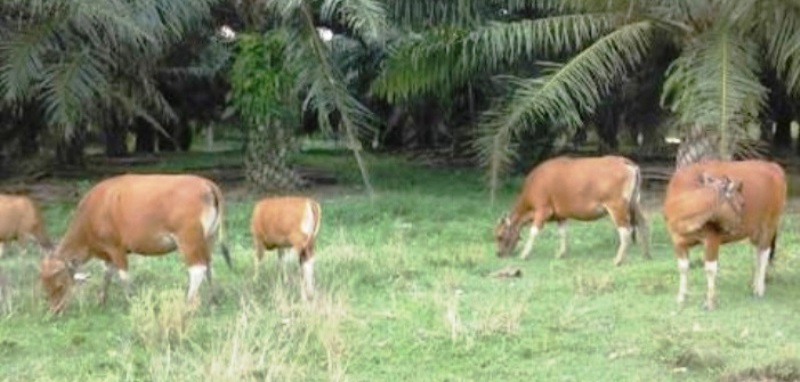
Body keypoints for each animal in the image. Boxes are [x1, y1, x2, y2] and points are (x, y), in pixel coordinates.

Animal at [38, 175, 231, 314]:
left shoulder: (116, 249)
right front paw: (101, 300)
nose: (54, 310)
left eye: (60, 285)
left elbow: (123, 276)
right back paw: (214, 300)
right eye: (44, 286)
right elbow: (107, 275)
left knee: (197, 269)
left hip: (189, 240)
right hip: (208, 239)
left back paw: (188, 302)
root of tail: (206, 184)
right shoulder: (108, 254)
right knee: (209, 266)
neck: (92, 214)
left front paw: (131, 300)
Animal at [496, 155, 652, 266]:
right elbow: (563, 233)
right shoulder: (560, 216)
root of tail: (626, 162)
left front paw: (524, 254)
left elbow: (533, 232)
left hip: (617, 206)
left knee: (625, 231)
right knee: (643, 224)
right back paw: (646, 255)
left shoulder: (543, 210)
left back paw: (618, 260)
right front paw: (561, 253)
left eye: (500, 236)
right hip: (634, 204)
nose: (498, 254)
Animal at [664, 160, 788, 308]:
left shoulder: (712, 238)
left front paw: (710, 302)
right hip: (755, 231)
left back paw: (759, 289)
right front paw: (681, 297)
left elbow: (710, 268)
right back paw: (754, 285)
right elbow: (683, 267)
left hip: (769, 225)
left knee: (764, 255)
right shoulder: (677, 241)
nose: (739, 225)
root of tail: (774, 166)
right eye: (742, 203)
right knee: (757, 254)